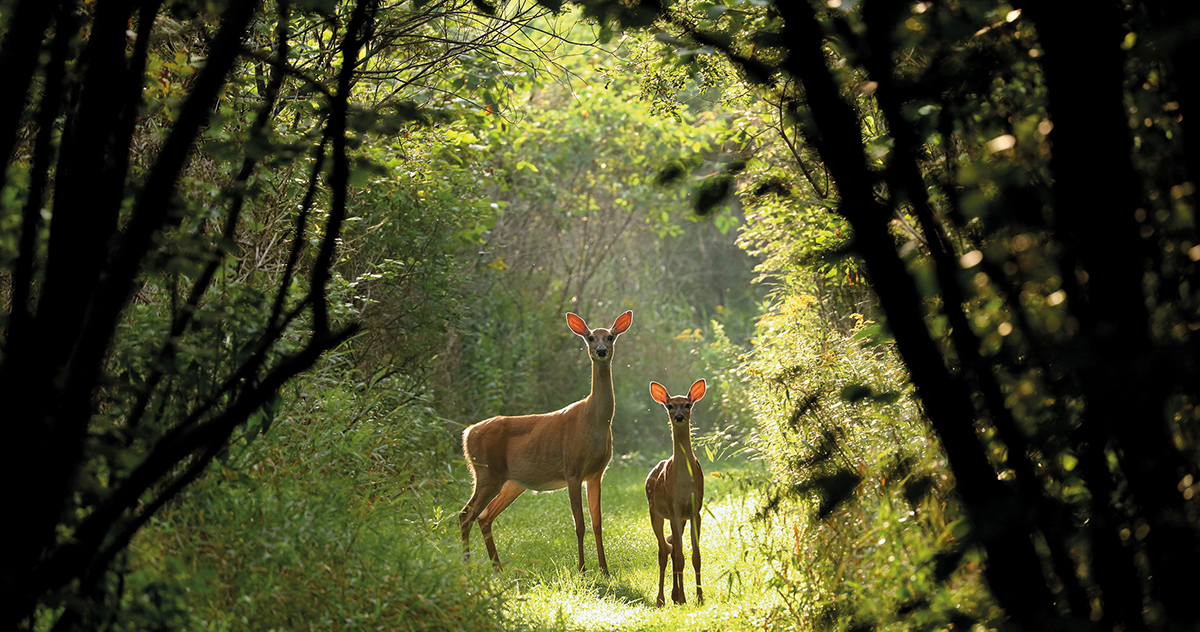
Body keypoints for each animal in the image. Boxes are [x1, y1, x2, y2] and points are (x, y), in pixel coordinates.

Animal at [453, 311, 633, 573]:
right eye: (590, 337)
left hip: (511, 482)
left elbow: (597, 523)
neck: (594, 422)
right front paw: (582, 569)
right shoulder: (573, 469)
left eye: (610, 336)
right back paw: (467, 566)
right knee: (466, 514)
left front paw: (605, 570)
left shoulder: (596, 473)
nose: (601, 351)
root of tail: (467, 434)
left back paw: (498, 568)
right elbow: (579, 524)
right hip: (486, 472)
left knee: (484, 516)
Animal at [643, 381, 705, 609]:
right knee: (664, 551)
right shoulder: (675, 508)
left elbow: (695, 556)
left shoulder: (695, 510)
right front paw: (686, 598)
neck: (685, 481)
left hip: (677, 518)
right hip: (656, 513)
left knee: (672, 549)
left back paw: (674, 595)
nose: (678, 417)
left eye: (688, 404)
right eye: (670, 406)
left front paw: (700, 597)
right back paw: (662, 599)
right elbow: (680, 556)